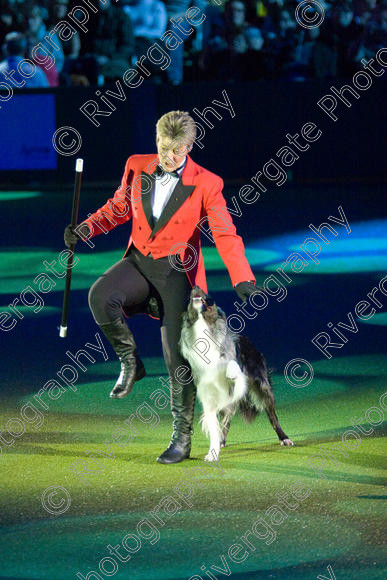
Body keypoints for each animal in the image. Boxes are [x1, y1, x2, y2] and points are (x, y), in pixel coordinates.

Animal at [180, 286, 294, 462]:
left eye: (209, 297)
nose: (196, 286)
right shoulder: (208, 393)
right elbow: (214, 422)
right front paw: (213, 451)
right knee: (226, 418)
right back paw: (221, 440)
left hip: (263, 387)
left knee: (272, 416)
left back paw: (284, 438)